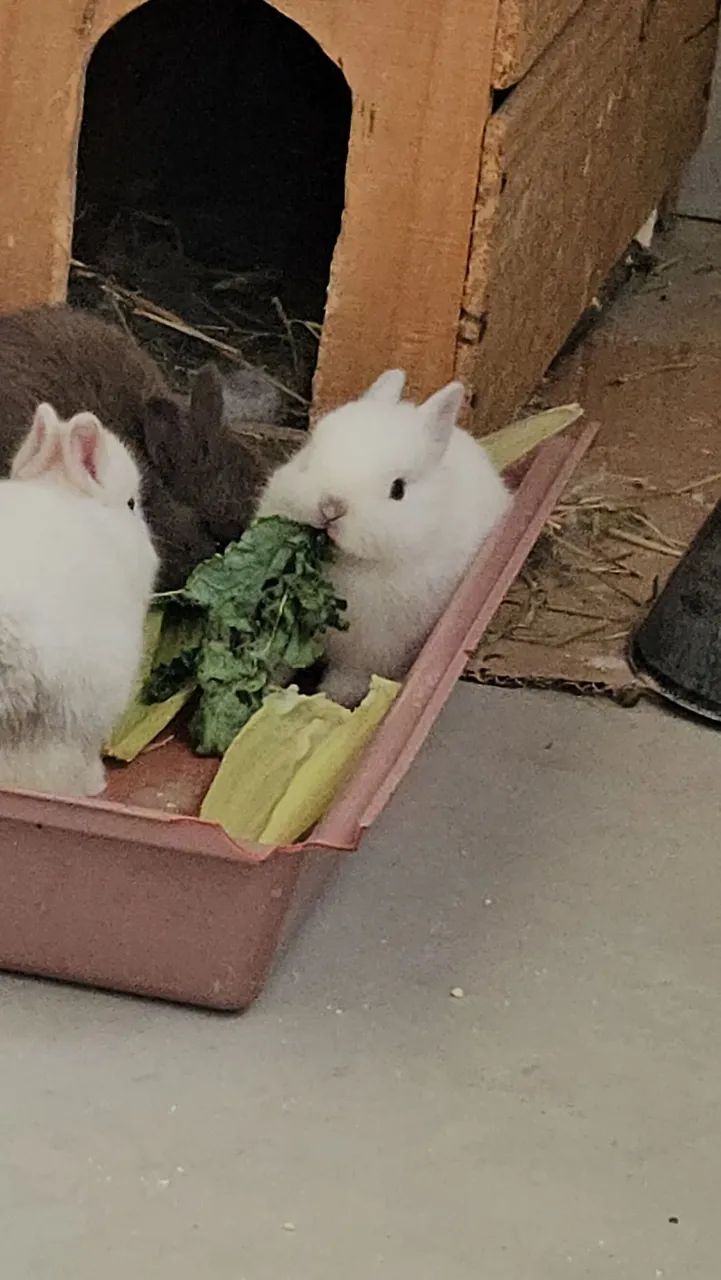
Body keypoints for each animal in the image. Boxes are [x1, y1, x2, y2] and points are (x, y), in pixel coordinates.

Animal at [256, 369, 512, 707]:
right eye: (309, 456)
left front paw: (329, 700)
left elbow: (347, 681)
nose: (331, 507)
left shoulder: (370, 654)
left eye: (398, 489)